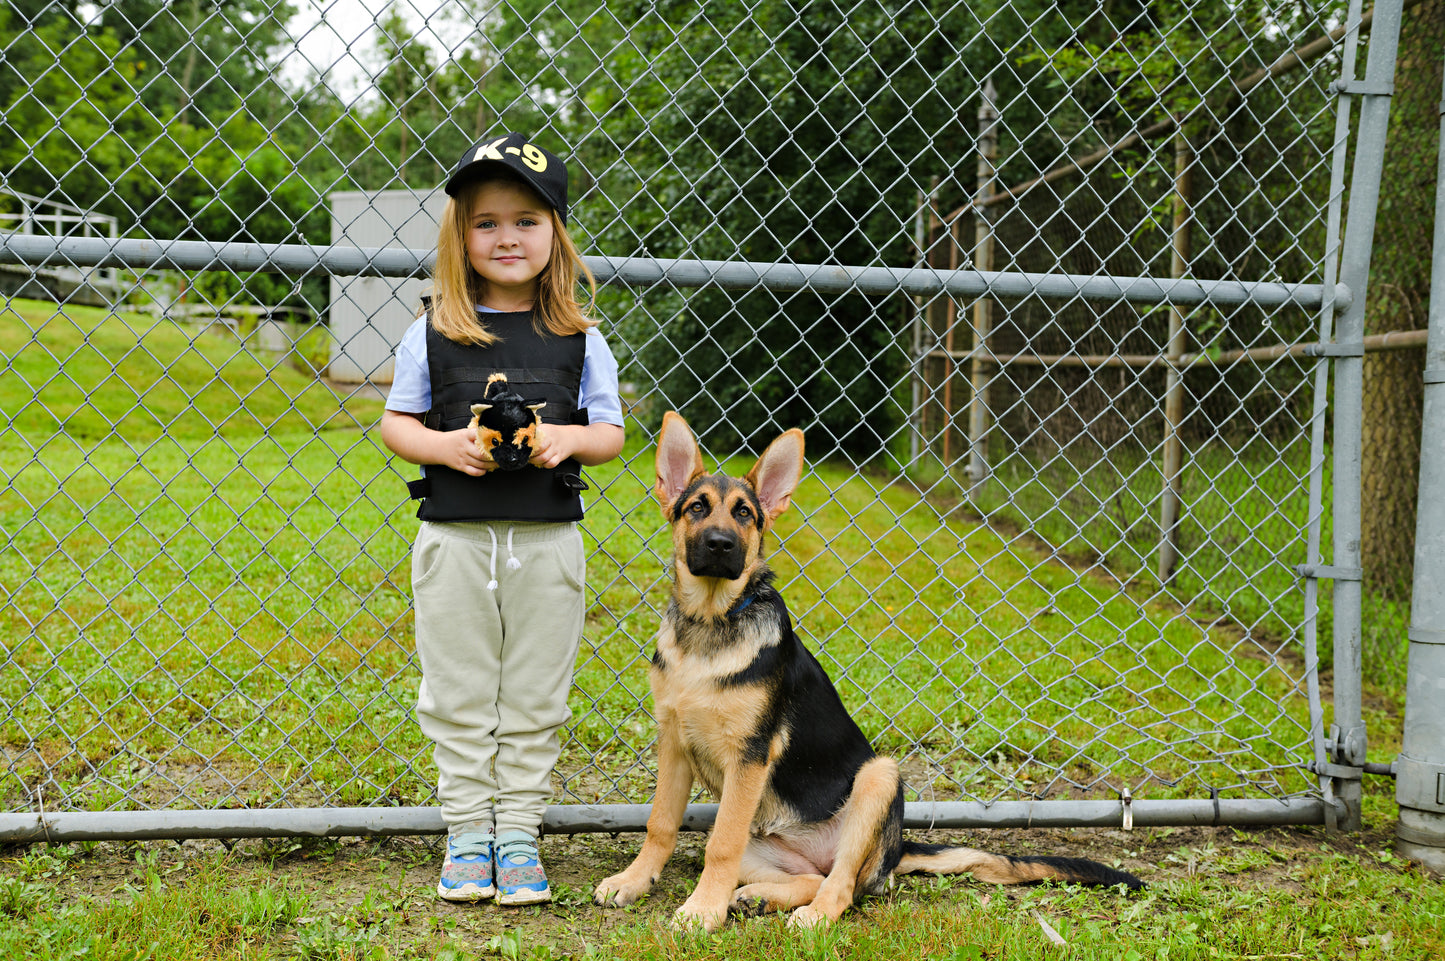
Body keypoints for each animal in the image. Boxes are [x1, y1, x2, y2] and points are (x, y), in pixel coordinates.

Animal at [592, 413, 1144, 930]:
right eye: (697, 508)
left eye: (745, 514)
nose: (722, 544)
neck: (712, 623)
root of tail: (896, 849)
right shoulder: (673, 741)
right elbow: (660, 824)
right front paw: (634, 881)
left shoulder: (749, 756)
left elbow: (718, 848)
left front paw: (701, 911)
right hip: (765, 839)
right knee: (811, 876)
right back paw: (759, 897)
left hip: (878, 780)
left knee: (842, 885)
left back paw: (809, 916)